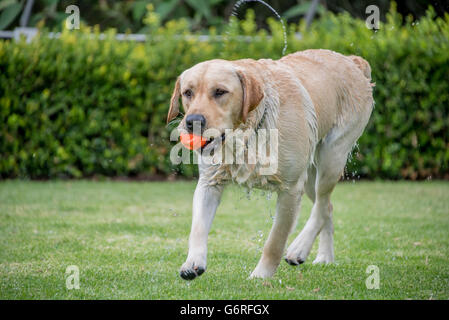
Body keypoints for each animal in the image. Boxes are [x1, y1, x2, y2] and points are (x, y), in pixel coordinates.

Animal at [166, 48, 372, 278]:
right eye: (188, 93)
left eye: (220, 92)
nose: (192, 121)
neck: (249, 132)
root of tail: (351, 60)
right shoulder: (209, 183)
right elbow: (198, 228)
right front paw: (193, 261)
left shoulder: (291, 189)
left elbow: (275, 241)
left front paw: (260, 276)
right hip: (310, 176)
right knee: (327, 205)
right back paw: (324, 257)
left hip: (332, 155)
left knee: (321, 205)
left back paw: (299, 248)